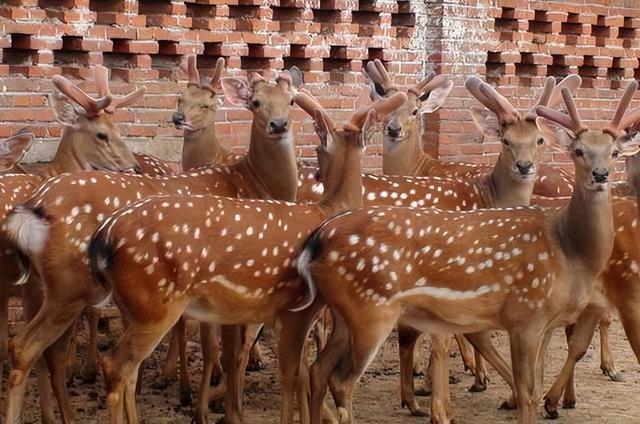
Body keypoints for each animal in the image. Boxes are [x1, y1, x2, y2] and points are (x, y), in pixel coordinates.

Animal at [0, 69, 304, 424]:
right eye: (255, 102)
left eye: (292, 100)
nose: (279, 125)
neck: (251, 183)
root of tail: (35, 205)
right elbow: (228, 352)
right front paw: (227, 411)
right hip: (70, 284)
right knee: (36, 348)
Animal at [298, 83, 640, 424]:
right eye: (578, 151)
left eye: (614, 152)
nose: (600, 174)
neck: (570, 252)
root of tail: (318, 238)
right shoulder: (525, 314)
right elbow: (527, 391)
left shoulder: (544, 319)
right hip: (370, 311)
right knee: (340, 380)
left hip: (344, 314)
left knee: (318, 369)